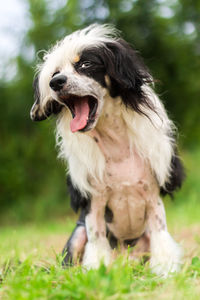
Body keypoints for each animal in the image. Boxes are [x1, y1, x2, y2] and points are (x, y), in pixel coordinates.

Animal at [30, 24, 185, 276]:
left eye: (85, 64)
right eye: (54, 73)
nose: (56, 82)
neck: (116, 146)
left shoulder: (152, 197)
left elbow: (161, 236)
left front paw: (165, 270)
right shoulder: (94, 202)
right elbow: (97, 243)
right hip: (77, 235)